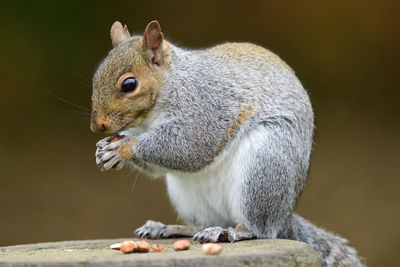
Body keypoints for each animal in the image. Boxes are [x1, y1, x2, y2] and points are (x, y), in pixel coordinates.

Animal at [92, 19, 364, 266]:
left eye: (129, 84)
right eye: (96, 78)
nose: (97, 126)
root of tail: (285, 217)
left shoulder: (204, 106)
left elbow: (189, 145)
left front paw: (123, 148)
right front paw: (105, 148)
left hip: (265, 165)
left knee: (259, 228)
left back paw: (230, 231)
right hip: (189, 196)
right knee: (204, 222)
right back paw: (173, 228)